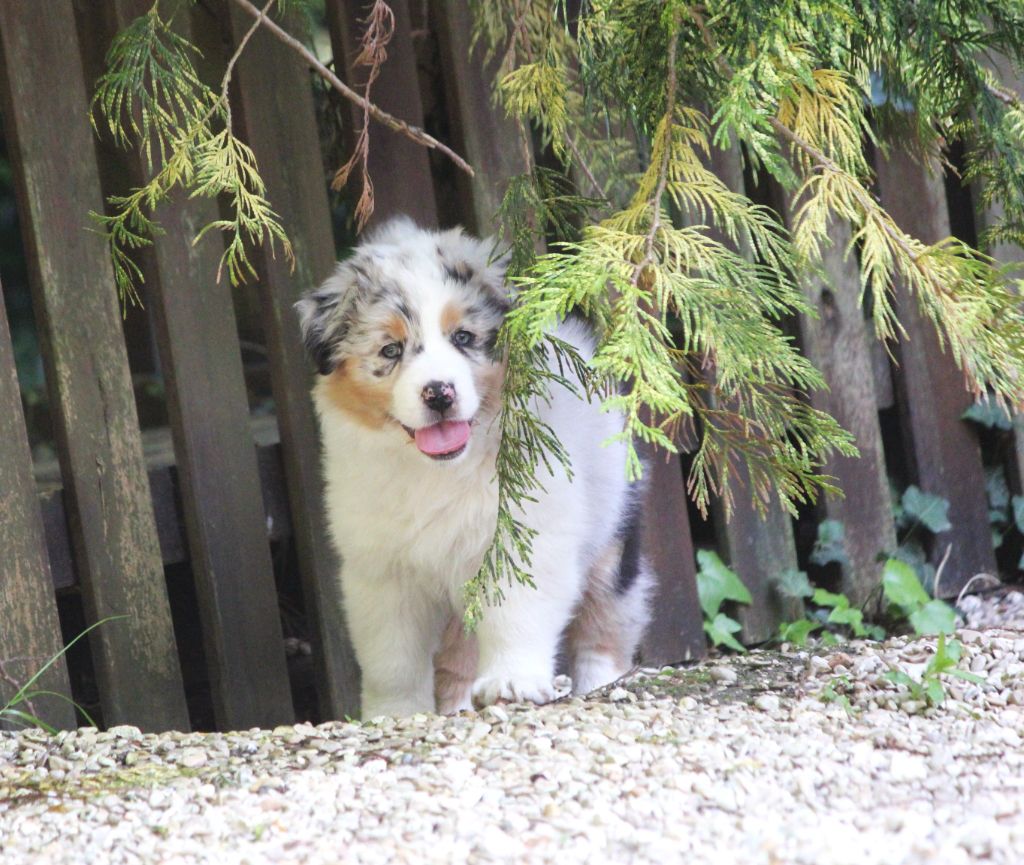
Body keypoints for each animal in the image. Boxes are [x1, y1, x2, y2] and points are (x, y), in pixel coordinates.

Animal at [296, 219, 651, 720]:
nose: (439, 392)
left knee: (606, 624)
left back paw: (599, 682)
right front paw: (395, 713)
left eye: (463, 338)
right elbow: (392, 657)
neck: (438, 472)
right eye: (390, 350)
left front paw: (513, 680)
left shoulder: (524, 541)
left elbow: (519, 614)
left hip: (612, 536)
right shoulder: (382, 570)